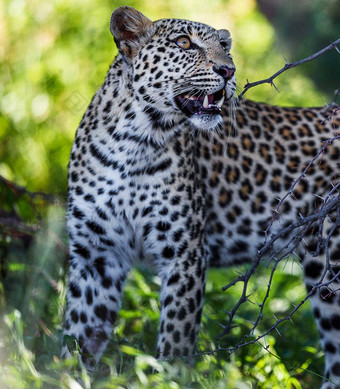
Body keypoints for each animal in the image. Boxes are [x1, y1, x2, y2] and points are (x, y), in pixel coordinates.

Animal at [61, 5, 340, 384]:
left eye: (224, 47)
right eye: (184, 43)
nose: (228, 70)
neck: (132, 141)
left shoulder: (184, 253)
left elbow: (176, 340)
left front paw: (169, 380)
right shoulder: (96, 256)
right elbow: (78, 338)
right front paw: (63, 375)